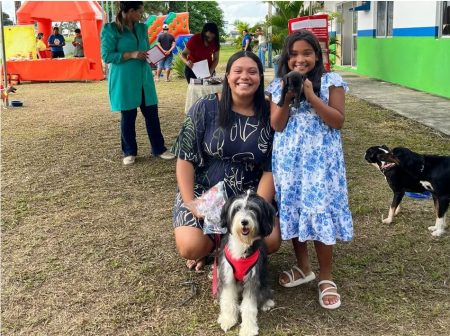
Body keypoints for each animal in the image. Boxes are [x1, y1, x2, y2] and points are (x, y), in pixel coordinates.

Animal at [217, 192, 276, 336]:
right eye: (237, 208)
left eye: (253, 209)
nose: (244, 222)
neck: (242, 244)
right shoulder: (227, 276)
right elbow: (228, 298)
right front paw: (228, 319)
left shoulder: (252, 279)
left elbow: (249, 306)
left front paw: (248, 329)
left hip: (263, 279)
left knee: (265, 291)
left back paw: (267, 302)